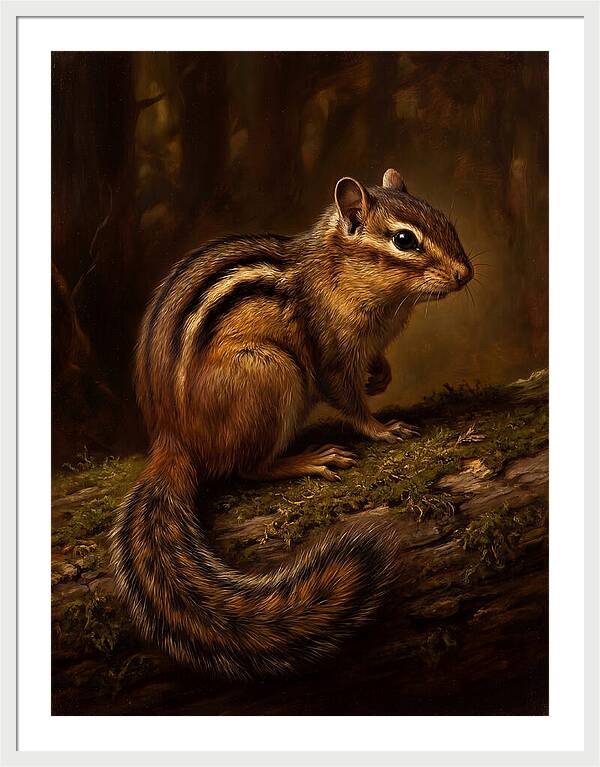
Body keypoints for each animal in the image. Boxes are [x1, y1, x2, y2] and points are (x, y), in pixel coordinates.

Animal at [110, 168, 473, 679]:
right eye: (404, 240)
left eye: (446, 221)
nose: (466, 273)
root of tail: (172, 439)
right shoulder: (331, 352)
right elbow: (347, 399)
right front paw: (382, 428)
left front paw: (381, 376)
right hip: (272, 372)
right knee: (247, 468)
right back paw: (310, 459)